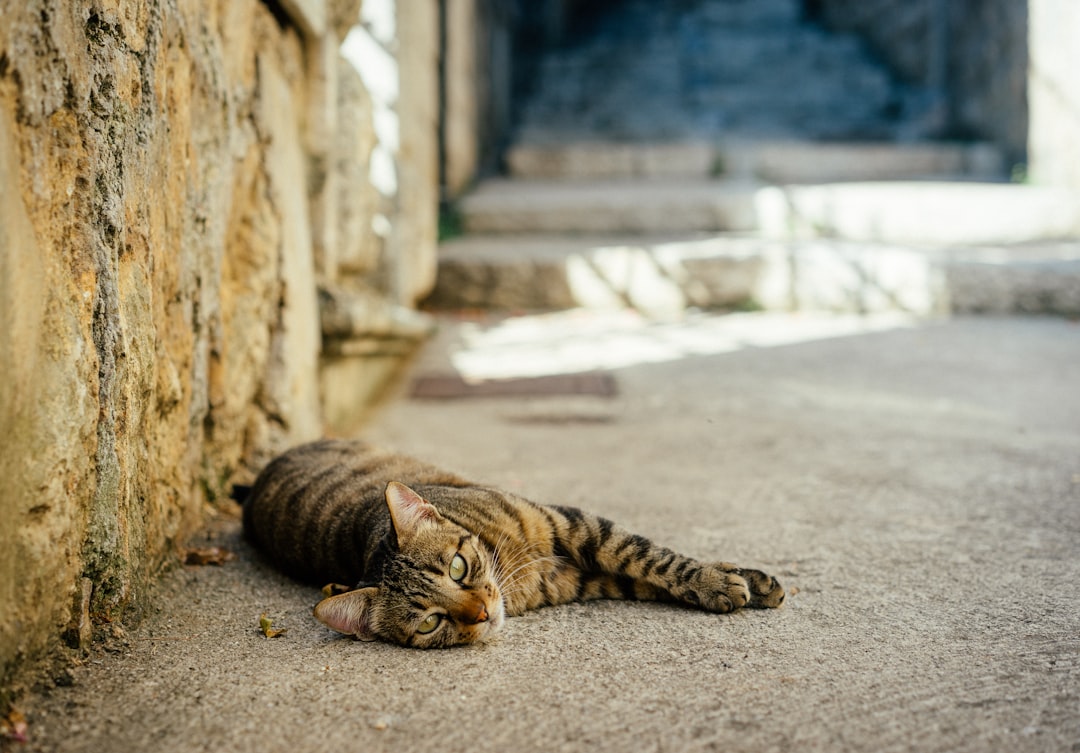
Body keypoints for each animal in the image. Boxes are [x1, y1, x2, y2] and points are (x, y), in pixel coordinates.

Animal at [243, 440, 786, 648]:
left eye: (458, 567)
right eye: (430, 623)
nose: (483, 612)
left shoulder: (572, 524)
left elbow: (650, 557)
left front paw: (729, 579)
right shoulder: (577, 575)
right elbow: (645, 574)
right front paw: (724, 584)